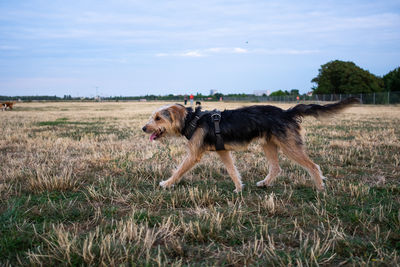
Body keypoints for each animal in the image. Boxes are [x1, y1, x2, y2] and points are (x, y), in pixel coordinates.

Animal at [143, 98, 360, 193]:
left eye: (157, 118)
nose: (144, 128)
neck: (193, 120)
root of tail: (286, 112)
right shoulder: (223, 151)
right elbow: (232, 170)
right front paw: (239, 188)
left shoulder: (194, 155)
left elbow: (179, 170)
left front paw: (166, 183)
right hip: (269, 145)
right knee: (276, 168)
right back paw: (264, 183)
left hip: (290, 146)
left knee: (313, 166)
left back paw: (320, 187)